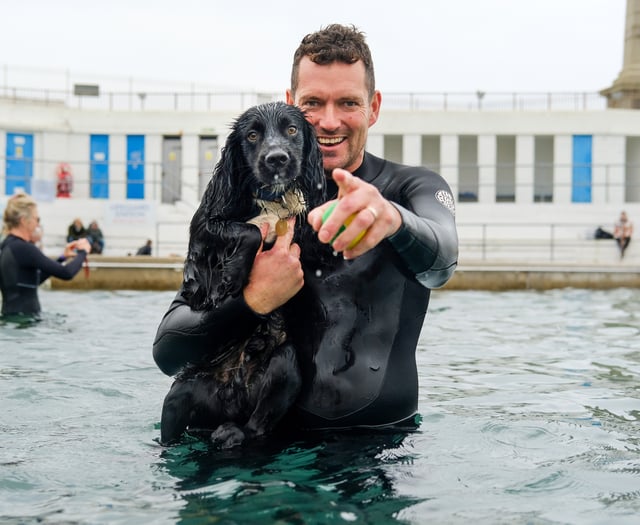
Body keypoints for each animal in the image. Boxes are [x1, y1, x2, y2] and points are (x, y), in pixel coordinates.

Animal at [160, 102, 324, 446]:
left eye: (292, 129)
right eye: (252, 135)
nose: (277, 159)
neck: (270, 197)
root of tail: (231, 390)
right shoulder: (205, 225)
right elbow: (249, 229)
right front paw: (233, 275)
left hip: (286, 364)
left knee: (258, 425)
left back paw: (232, 433)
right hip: (178, 394)